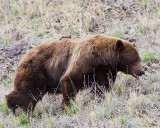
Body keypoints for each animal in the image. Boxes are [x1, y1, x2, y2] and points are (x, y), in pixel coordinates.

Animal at [5, 34, 145, 113]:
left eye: (139, 58)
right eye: (135, 59)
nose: (142, 70)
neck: (103, 58)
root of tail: (23, 57)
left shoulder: (104, 71)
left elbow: (102, 86)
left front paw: (99, 98)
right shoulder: (84, 60)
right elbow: (69, 80)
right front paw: (66, 107)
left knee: (31, 96)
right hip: (36, 71)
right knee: (29, 92)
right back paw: (14, 107)